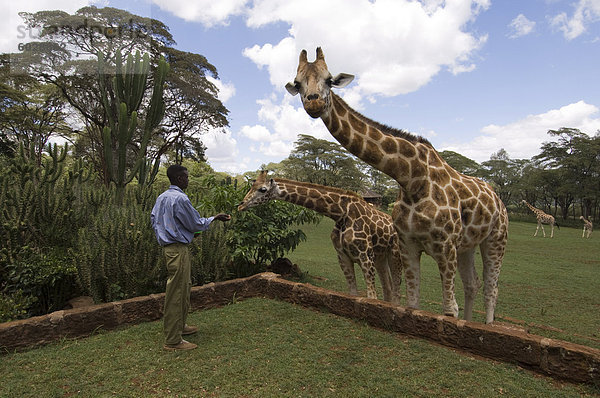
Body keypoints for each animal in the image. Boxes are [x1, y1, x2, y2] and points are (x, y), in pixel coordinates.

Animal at [239, 169, 404, 304]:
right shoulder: (343, 257)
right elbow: (353, 294)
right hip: (380, 257)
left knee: (396, 288)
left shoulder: (365, 256)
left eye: (263, 189)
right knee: (388, 287)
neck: (341, 214)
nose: (241, 205)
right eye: (252, 185)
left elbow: (371, 297)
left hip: (395, 254)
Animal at [286, 47, 506, 324]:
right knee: (473, 284)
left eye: (329, 79)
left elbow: (448, 310)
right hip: (467, 245)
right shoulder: (408, 244)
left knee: (492, 288)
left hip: (496, 239)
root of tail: (498, 199)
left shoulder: (445, 246)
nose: (313, 102)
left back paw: (488, 323)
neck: (411, 178)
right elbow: (412, 303)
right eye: (297, 83)